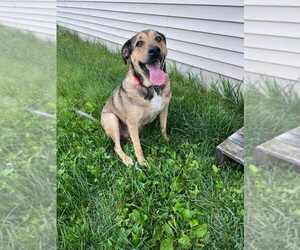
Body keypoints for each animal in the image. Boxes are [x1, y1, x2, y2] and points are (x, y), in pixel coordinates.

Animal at [101, 29, 171, 166]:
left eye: (158, 38)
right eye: (139, 43)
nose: (155, 50)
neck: (152, 87)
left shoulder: (164, 109)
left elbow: (163, 127)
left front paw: (165, 139)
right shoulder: (132, 123)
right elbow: (137, 146)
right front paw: (142, 162)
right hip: (111, 119)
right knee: (117, 146)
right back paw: (127, 159)